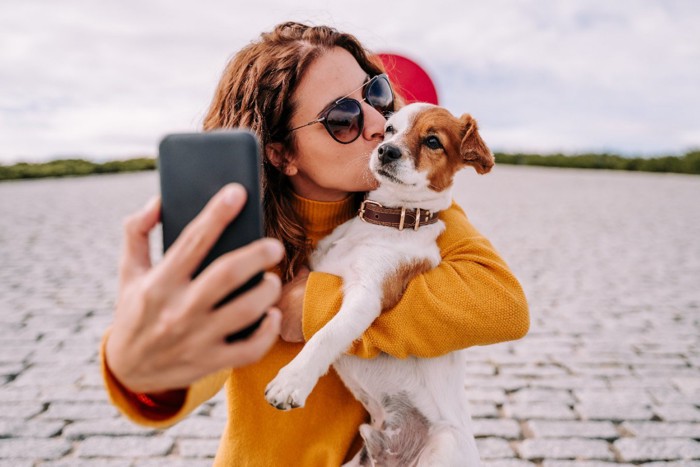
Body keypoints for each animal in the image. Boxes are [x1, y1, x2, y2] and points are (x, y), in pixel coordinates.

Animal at [266, 104, 494, 466]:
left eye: (433, 141)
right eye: (389, 129)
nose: (386, 150)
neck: (384, 219)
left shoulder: (368, 295)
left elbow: (325, 335)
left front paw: (292, 380)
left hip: (442, 449)